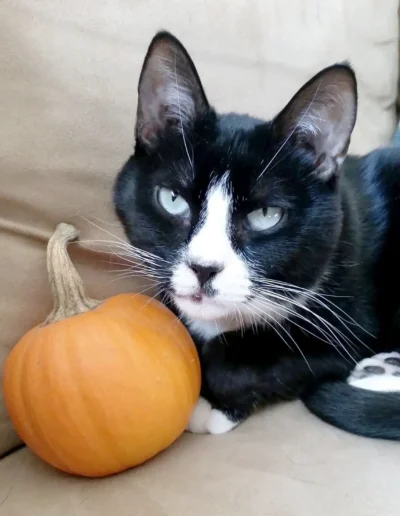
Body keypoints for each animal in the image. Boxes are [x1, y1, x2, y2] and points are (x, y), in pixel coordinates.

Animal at [112, 30, 400, 440]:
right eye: (172, 199)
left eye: (266, 215)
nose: (204, 268)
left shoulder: (350, 319)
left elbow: (269, 358)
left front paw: (214, 405)